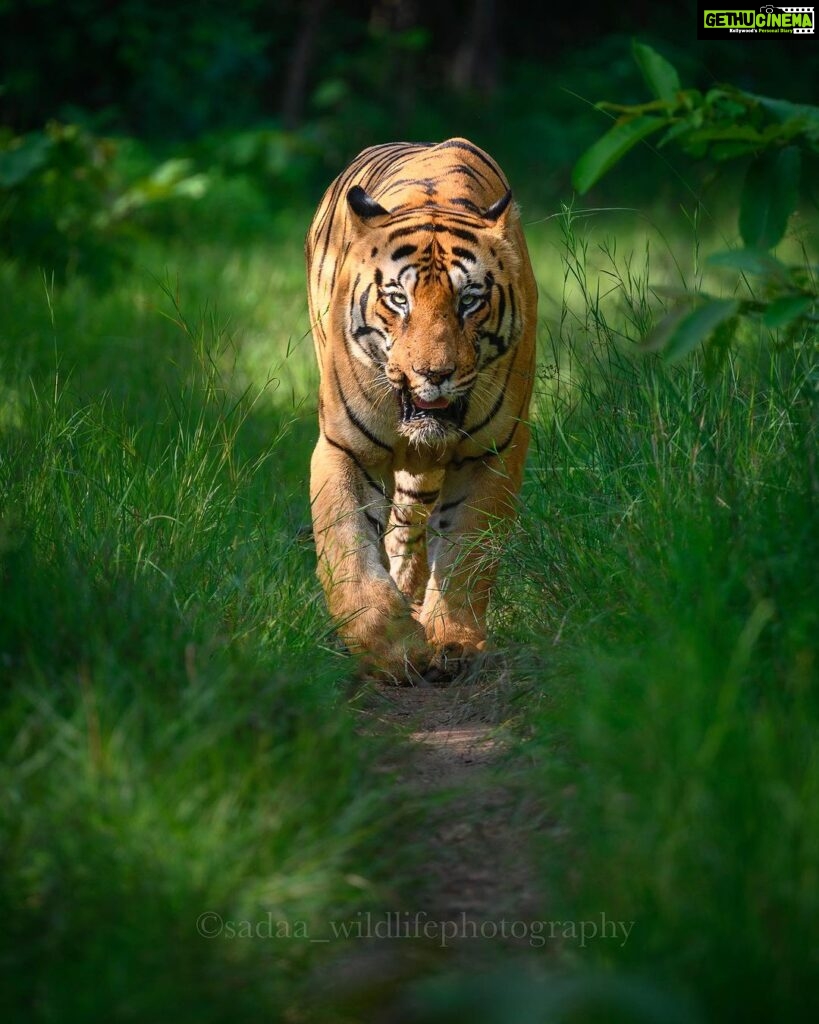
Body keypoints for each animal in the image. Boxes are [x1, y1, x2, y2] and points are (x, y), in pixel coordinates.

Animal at [303, 136, 536, 679]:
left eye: (469, 300)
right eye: (398, 299)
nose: (433, 373)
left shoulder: (492, 453)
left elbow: (469, 555)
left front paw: (452, 640)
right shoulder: (344, 448)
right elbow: (346, 548)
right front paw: (392, 649)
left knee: (407, 527)